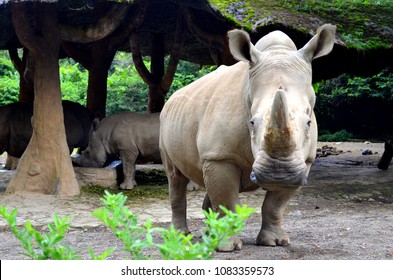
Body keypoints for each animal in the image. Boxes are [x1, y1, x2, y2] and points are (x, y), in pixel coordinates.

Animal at [159, 24, 334, 252]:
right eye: (251, 122)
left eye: (308, 122)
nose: (279, 173)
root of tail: (171, 100)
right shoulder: (220, 155)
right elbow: (225, 200)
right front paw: (227, 247)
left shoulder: (304, 162)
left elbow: (274, 205)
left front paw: (275, 242)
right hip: (164, 121)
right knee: (175, 177)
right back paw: (181, 236)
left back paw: (208, 234)